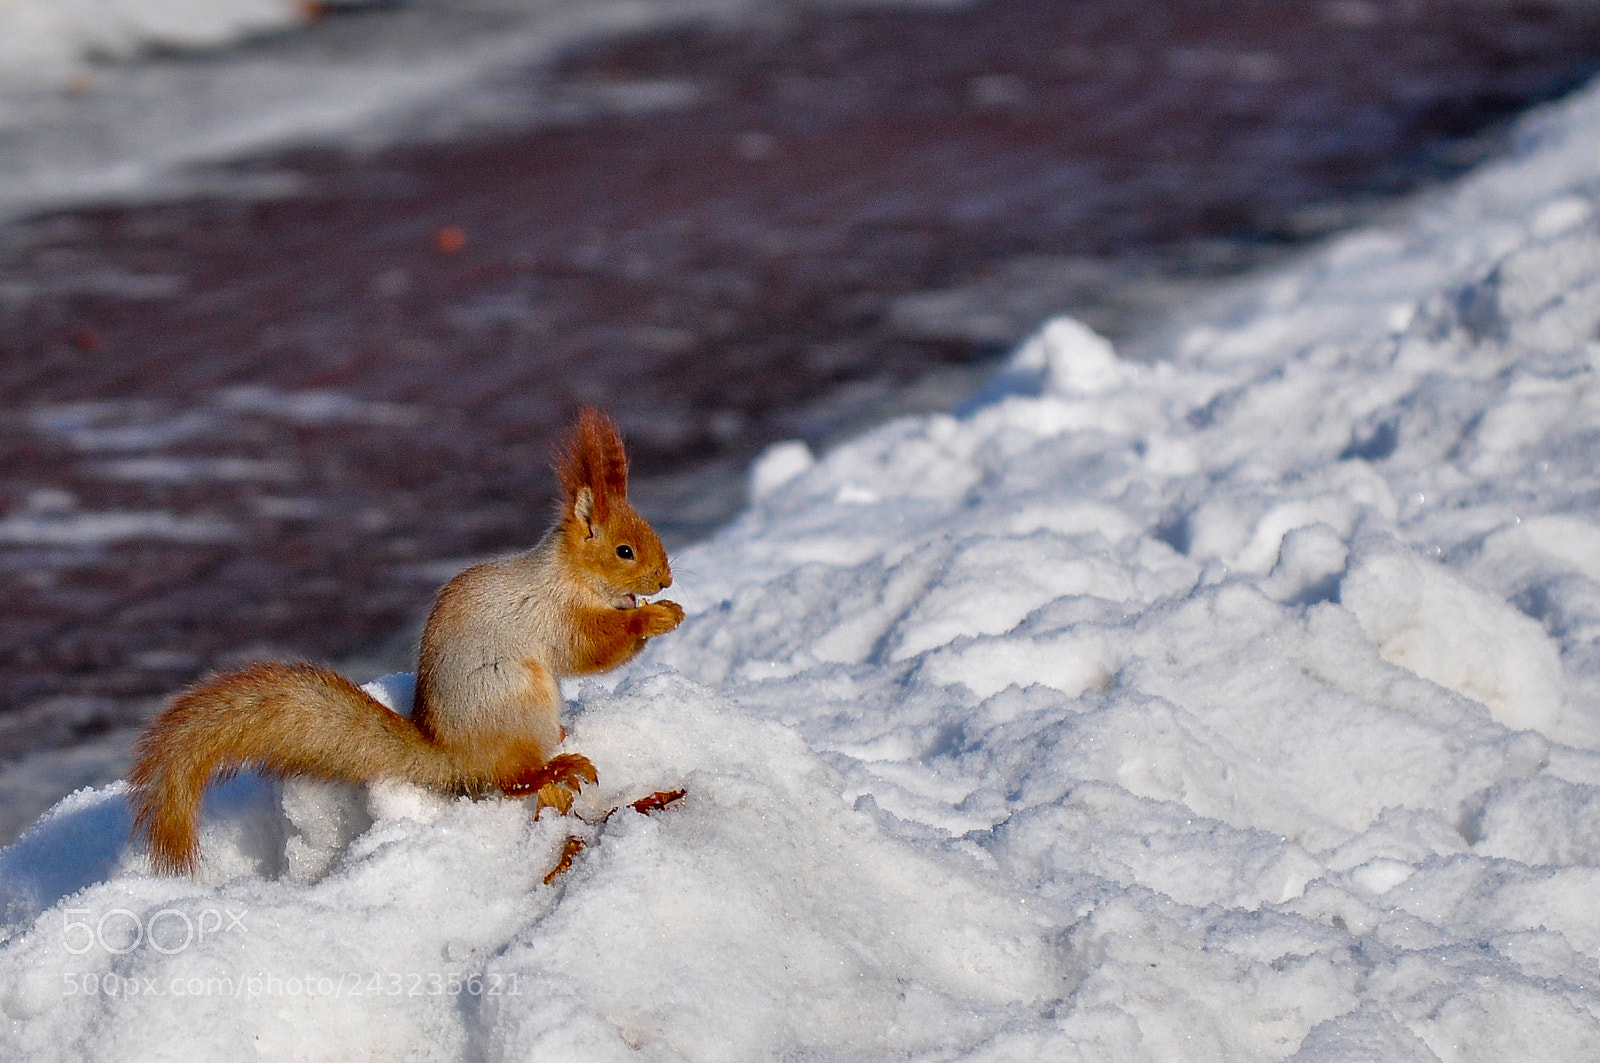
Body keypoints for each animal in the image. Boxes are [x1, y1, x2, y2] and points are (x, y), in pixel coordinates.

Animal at [128, 406, 684, 876]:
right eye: (625, 551)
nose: (665, 580)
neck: (568, 575)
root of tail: (452, 757)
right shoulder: (550, 615)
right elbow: (590, 649)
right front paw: (652, 618)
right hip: (517, 698)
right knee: (512, 779)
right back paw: (557, 768)